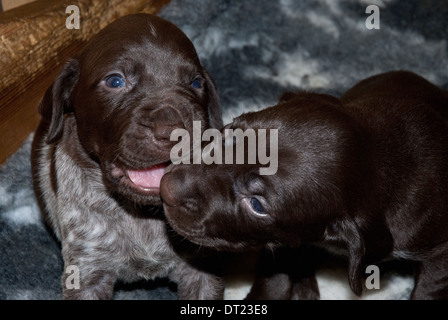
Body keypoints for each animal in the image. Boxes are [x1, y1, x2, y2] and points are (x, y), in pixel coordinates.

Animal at [32, 14, 224, 300]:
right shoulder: (86, 273)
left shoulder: (201, 268)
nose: (173, 132)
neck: (141, 214)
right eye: (115, 81)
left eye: (196, 83)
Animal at [163, 70, 448, 300]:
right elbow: (276, 273)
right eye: (231, 134)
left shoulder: (439, 255)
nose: (166, 187)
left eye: (257, 205)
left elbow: (428, 290)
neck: (382, 157)